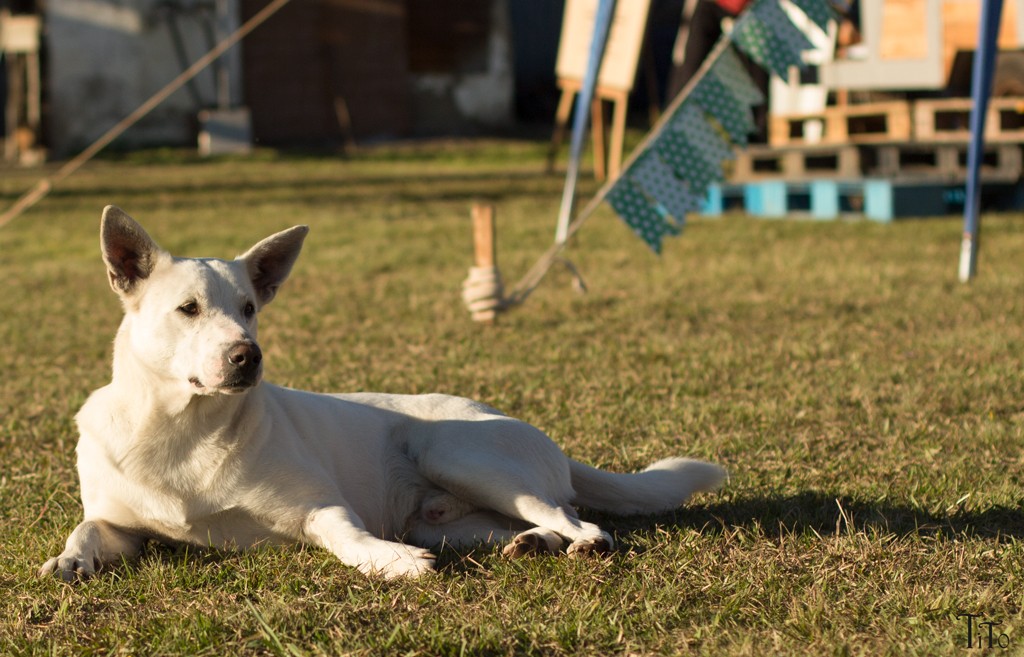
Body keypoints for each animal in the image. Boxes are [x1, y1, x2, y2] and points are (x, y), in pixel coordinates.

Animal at [39, 204, 724, 577]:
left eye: (250, 308)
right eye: (188, 309)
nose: (247, 356)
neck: (184, 430)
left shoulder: (321, 507)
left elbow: (347, 538)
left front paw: (390, 563)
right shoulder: (121, 522)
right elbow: (88, 529)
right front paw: (69, 562)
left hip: (456, 455)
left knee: (578, 518)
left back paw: (581, 543)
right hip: (449, 522)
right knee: (536, 522)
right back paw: (533, 545)